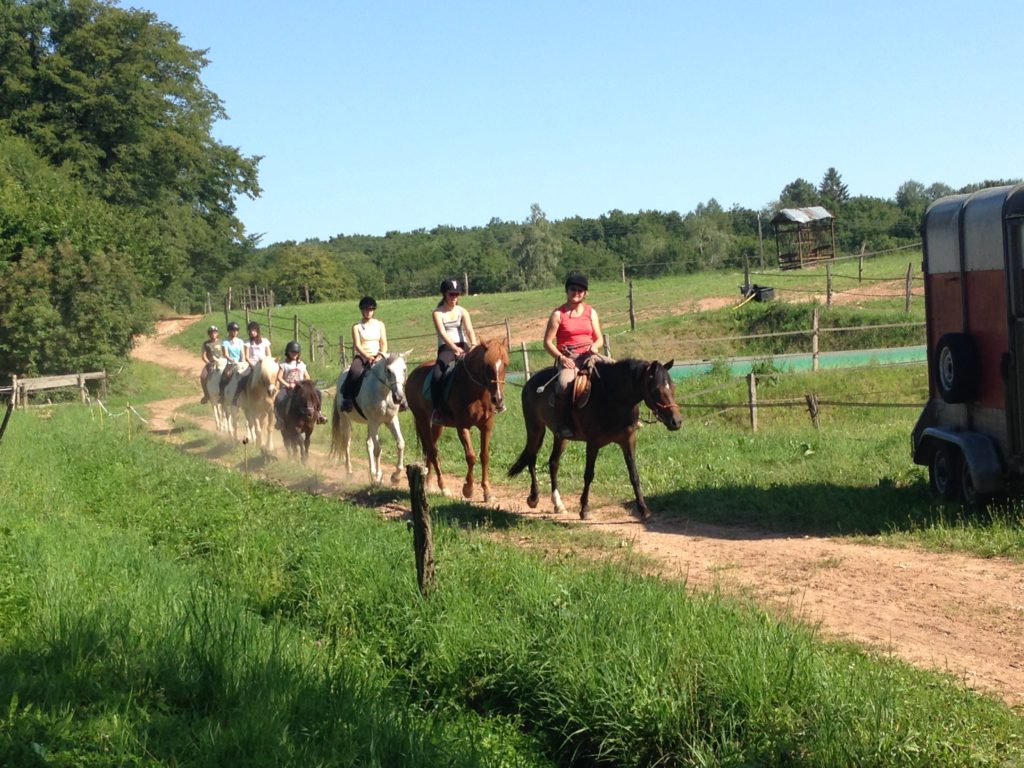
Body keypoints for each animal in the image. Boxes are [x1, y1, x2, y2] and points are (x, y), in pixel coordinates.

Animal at [327, 352, 407, 483]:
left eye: (404, 369)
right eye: (388, 370)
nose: (398, 397)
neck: (384, 394)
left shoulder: (391, 420)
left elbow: (400, 443)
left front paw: (396, 476)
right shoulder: (374, 422)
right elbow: (378, 449)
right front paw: (379, 476)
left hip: (369, 423)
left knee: (368, 444)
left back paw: (372, 473)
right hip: (345, 420)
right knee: (346, 443)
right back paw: (350, 472)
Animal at [403, 339, 507, 501]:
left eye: (506, 365)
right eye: (487, 366)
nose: (498, 399)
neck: (475, 392)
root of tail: (414, 373)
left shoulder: (486, 425)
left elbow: (484, 456)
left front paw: (487, 492)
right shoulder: (462, 427)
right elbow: (471, 456)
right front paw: (468, 489)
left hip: (437, 426)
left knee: (431, 449)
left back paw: (429, 484)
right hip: (422, 419)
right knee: (432, 451)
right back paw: (443, 487)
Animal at [505, 362, 679, 524]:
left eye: (673, 387)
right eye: (656, 390)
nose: (676, 421)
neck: (613, 398)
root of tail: (530, 381)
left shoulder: (628, 440)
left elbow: (634, 475)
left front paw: (643, 510)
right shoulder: (593, 443)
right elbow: (588, 475)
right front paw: (584, 510)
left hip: (560, 436)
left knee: (553, 462)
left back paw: (558, 504)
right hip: (535, 428)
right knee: (532, 459)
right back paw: (534, 498)